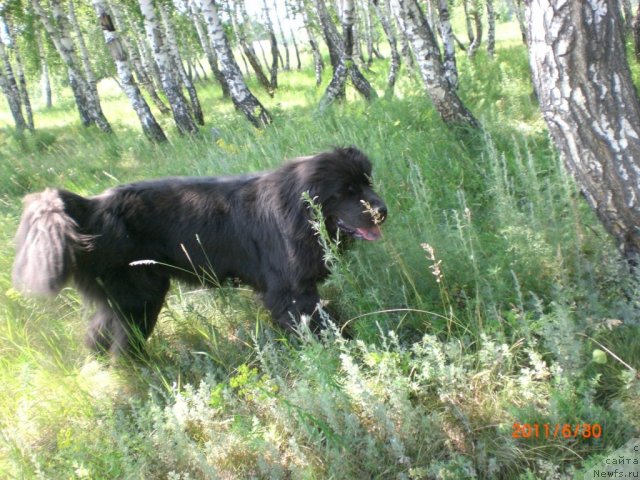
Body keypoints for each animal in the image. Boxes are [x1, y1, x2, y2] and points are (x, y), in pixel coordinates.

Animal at [12, 148, 384, 354]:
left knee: (99, 335)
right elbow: (317, 325)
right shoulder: (291, 292)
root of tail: (91, 207)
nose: (383, 210)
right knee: (123, 342)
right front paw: (343, 349)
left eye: (367, 182)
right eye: (346, 191)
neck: (298, 210)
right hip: (140, 298)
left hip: (126, 299)